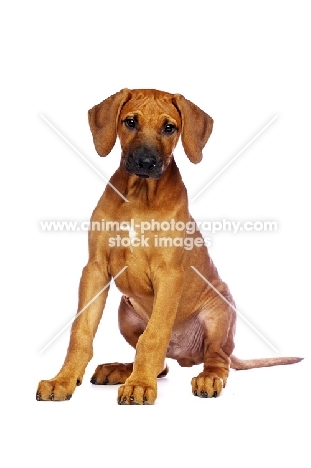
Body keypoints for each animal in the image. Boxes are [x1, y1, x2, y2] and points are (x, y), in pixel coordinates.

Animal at [36, 89, 302, 404]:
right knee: (162, 364)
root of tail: (185, 354)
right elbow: (80, 332)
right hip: (125, 313)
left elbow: (153, 337)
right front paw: (62, 380)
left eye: (169, 128)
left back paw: (207, 378)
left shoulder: (170, 275)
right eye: (130, 122)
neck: (140, 195)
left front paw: (140, 385)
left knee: (218, 358)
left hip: (219, 310)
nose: (146, 162)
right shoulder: (95, 269)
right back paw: (121, 369)